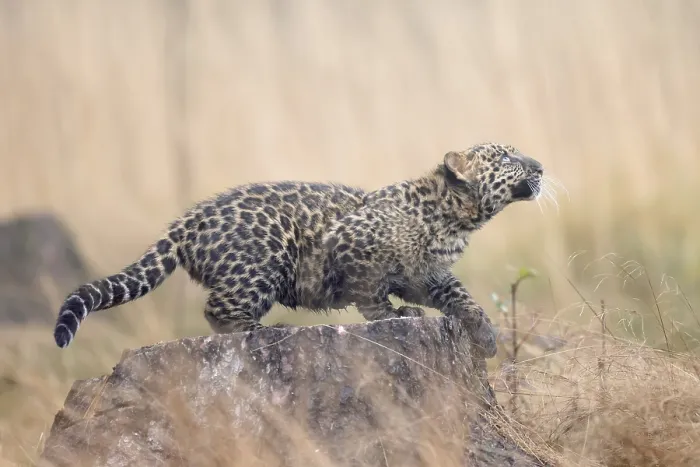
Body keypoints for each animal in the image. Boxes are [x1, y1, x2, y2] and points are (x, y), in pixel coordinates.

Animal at [53, 142, 544, 358]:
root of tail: (186, 222)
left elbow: (462, 298)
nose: (540, 165)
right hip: (266, 255)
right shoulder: (353, 248)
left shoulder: (429, 275)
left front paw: (485, 335)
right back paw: (263, 329)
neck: (453, 218)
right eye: (506, 157)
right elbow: (370, 295)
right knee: (218, 309)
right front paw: (394, 315)